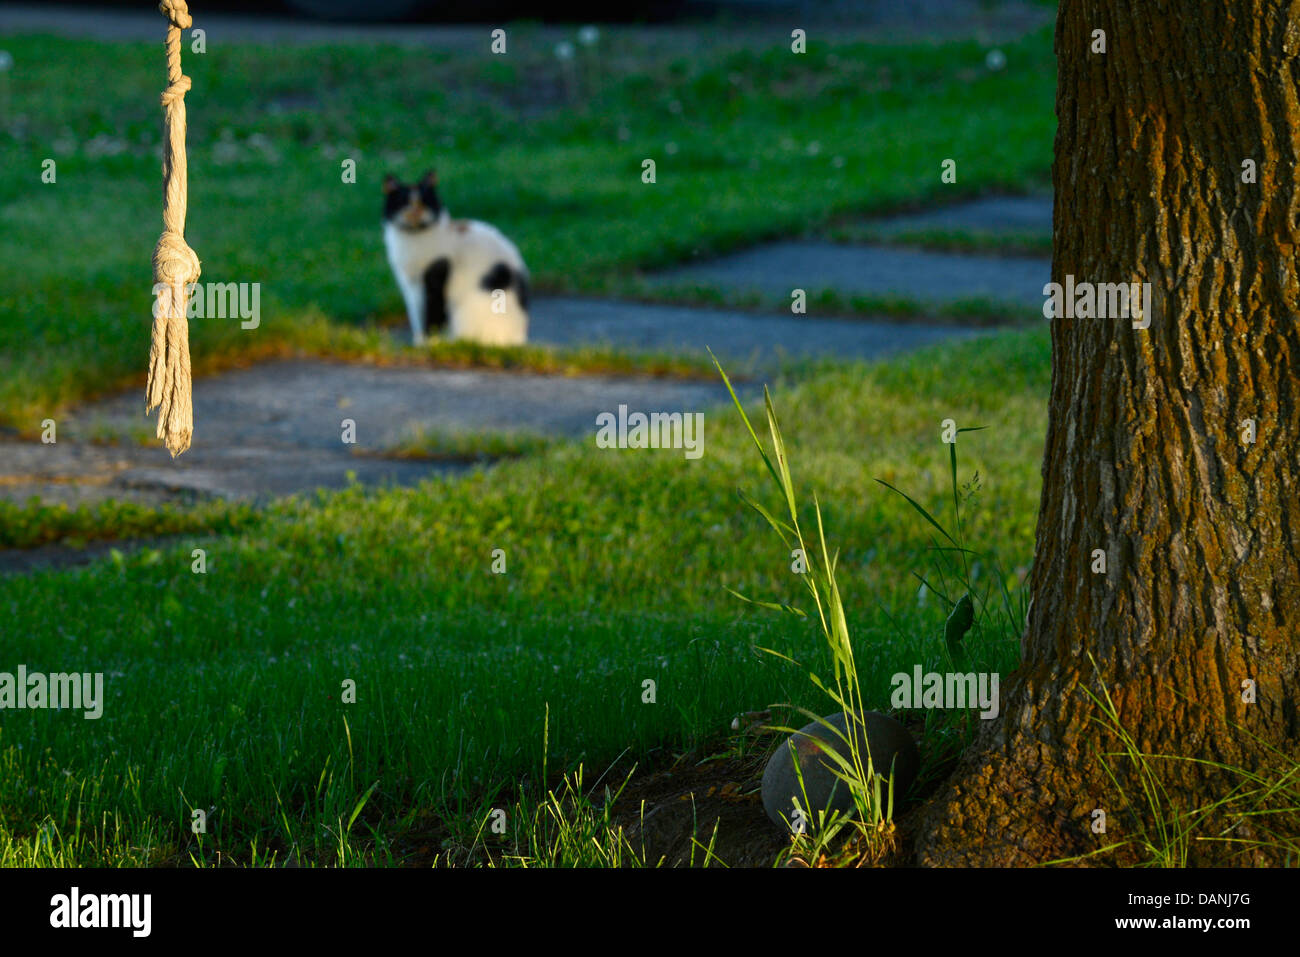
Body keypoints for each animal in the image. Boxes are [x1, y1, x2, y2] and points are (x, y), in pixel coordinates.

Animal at [382, 171, 530, 348]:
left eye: (425, 203)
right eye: (404, 203)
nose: (415, 215)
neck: (413, 239)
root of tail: (517, 340)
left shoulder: (437, 273)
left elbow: (433, 313)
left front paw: (429, 342)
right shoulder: (409, 285)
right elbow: (416, 314)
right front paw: (419, 342)